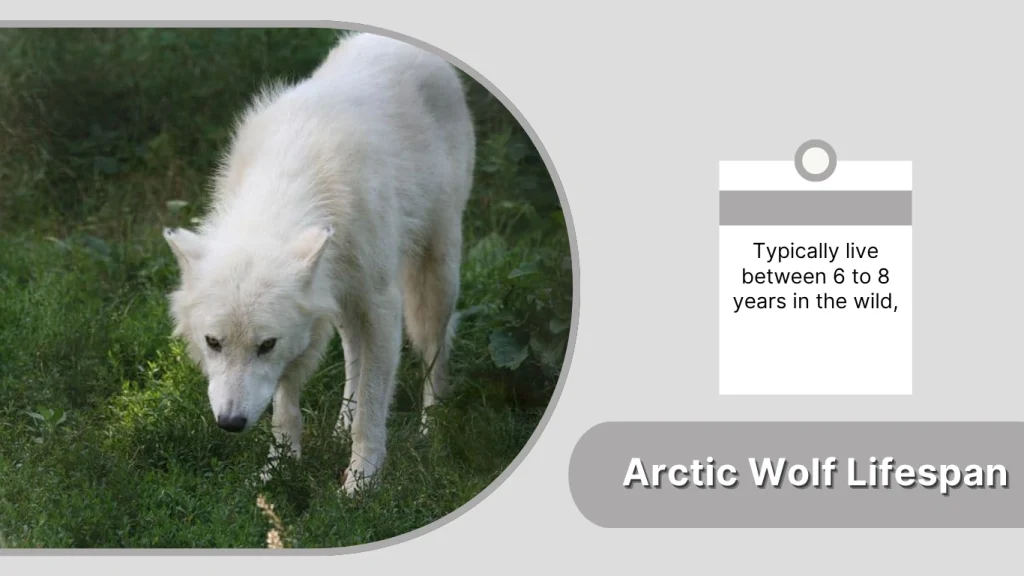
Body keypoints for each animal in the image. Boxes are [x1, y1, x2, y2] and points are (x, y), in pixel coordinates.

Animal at [162, 32, 475, 494]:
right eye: (213, 342)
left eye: (265, 345)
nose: (231, 423)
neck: (290, 183)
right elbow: (285, 407)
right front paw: (278, 469)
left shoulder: (382, 306)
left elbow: (373, 407)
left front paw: (361, 484)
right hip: (344, 303)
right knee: (353, 355)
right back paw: (340, 426)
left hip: (435, 278)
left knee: (434, 351)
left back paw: (430, 431)